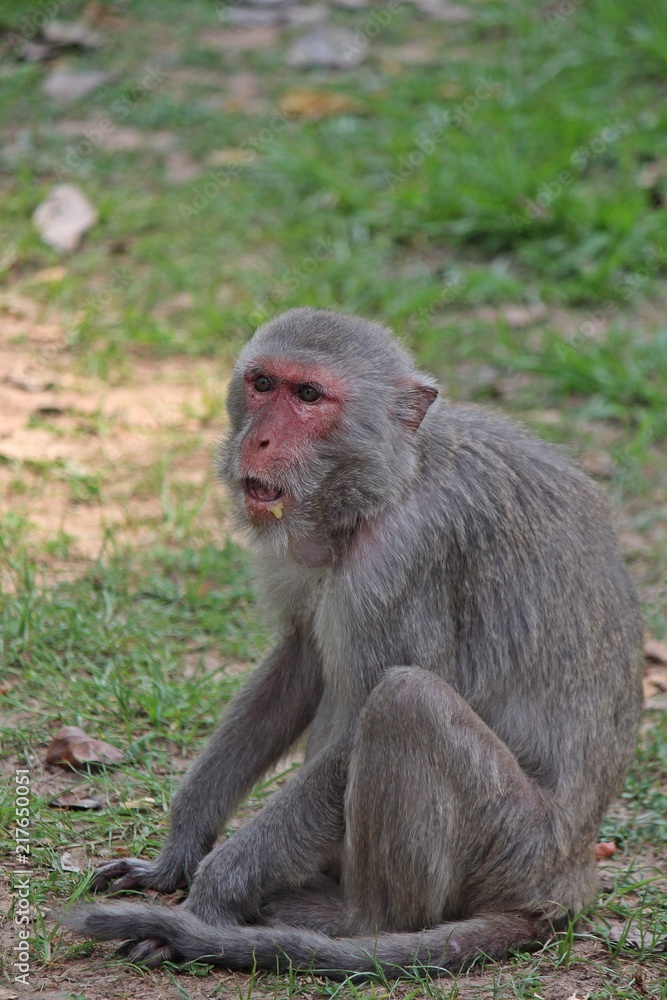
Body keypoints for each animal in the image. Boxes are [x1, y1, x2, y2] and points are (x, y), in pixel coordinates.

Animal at [65, 306, 644, 976]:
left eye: (310, 396)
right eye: (263, 383)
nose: (258, 441)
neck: (389, 483)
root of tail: (566, 881)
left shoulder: (404, 559)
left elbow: (361, 723)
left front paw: (208, 903)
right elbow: (299, 663)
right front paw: (176, 857)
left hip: (513, 844)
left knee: (405, 701)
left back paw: (354, 923)